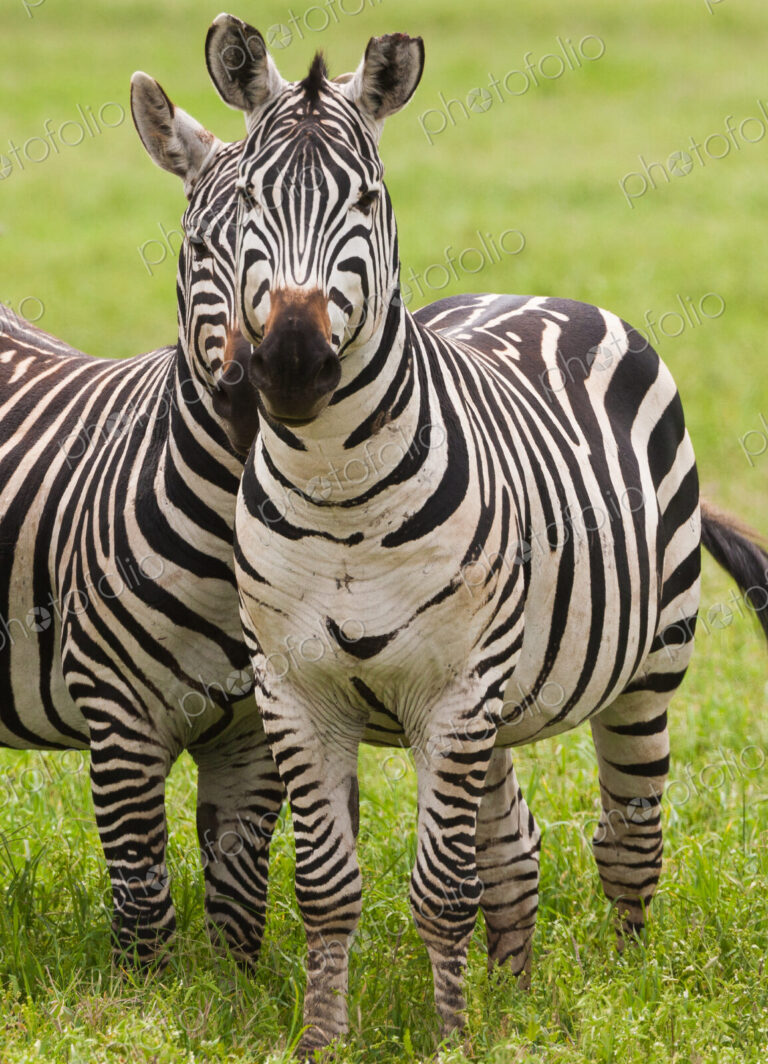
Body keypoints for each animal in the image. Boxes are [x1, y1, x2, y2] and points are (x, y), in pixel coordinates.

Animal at [0, 73, 286, 968]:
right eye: (197, 250)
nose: (249, 386)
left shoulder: (254, 735)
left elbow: (239, 893)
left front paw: (234, 990)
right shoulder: (118, 720)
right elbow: (143, 901)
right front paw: (149, 991)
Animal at [205, 15, 768, 1055]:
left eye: (368, 198)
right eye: (251, 201)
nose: (293, 364)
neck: (339, 494)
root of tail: (542, 298)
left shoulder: (459, 691)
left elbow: (439, 890)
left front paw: (449, 1042)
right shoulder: (295, 692)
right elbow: (330, 889)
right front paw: (325, 1039)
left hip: (649, 665)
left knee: (628, 835)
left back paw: (625, 983)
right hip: (498, 704)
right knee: (515, 849)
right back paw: (515, 990)